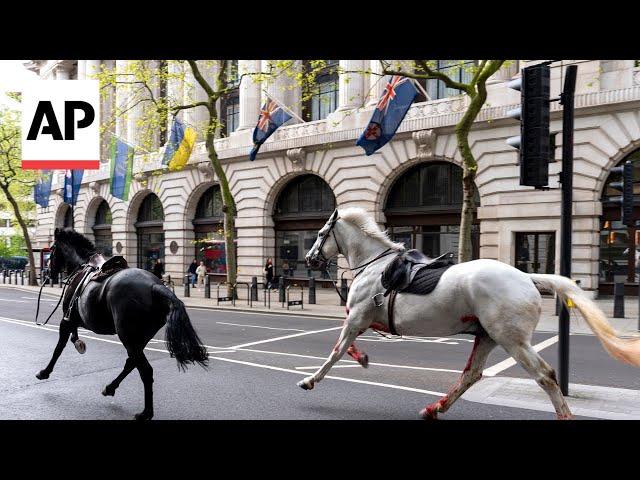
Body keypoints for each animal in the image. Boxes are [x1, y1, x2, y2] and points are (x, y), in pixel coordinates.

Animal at [37, 227, 210, 418]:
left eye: (52, 250)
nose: (47, 273)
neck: (81, 266)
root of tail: (155, 286)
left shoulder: (66, 320)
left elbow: (58, 348)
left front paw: (45, 372)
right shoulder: (73, 319)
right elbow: (71, 338)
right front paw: (78, 343)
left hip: (128, 337)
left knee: (145, 371)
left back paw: (146, 412)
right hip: (139, 338)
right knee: (131, 363)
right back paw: (110, 388)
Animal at [300, 208, 640, 418]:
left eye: (320, 233)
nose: (309, 259)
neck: (374, 265)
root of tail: (528, 278)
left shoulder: (357, 317)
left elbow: (336, 352)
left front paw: (311, 380)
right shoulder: (363, 319)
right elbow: (347, 347)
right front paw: (362, 358)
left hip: (511, 339)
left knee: (545, 376)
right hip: (488, 336)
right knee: (472, 375)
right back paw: (435, 408)